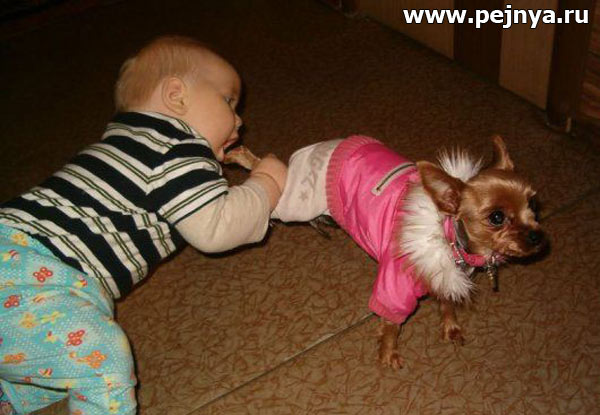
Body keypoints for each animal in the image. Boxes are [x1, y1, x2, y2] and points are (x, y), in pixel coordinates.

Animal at [225, 135, 545, 369]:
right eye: (496, 217)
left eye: (532, 203)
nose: (538, 237)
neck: (449, 236)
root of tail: (326, 145)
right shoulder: (393, 288)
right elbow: (392, 326)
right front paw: (387, 354)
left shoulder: (445, 273)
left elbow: (447, 303)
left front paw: (450, 327)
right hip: (297, 204)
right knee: (271, 189)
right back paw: (241, 158)